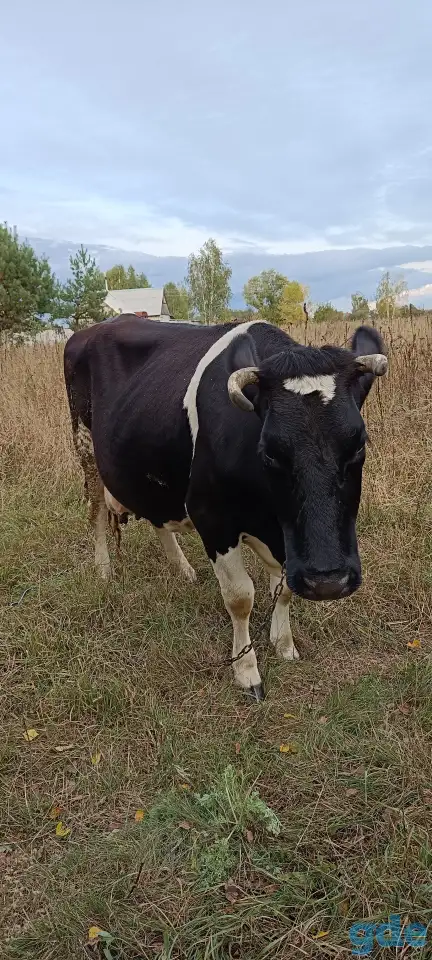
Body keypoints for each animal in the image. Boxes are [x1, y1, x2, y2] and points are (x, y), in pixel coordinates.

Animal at [64, 315, 387, 700]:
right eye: (269, 451)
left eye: (359, 444)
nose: (328, 583)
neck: (271, 520)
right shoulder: (213, 518)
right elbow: (239, 597)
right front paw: (246, 671)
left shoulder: (288, 544)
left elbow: (283, 589)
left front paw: (284, 644)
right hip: (85, 445)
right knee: (96, 511)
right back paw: (103, 570)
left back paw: (183, 569)